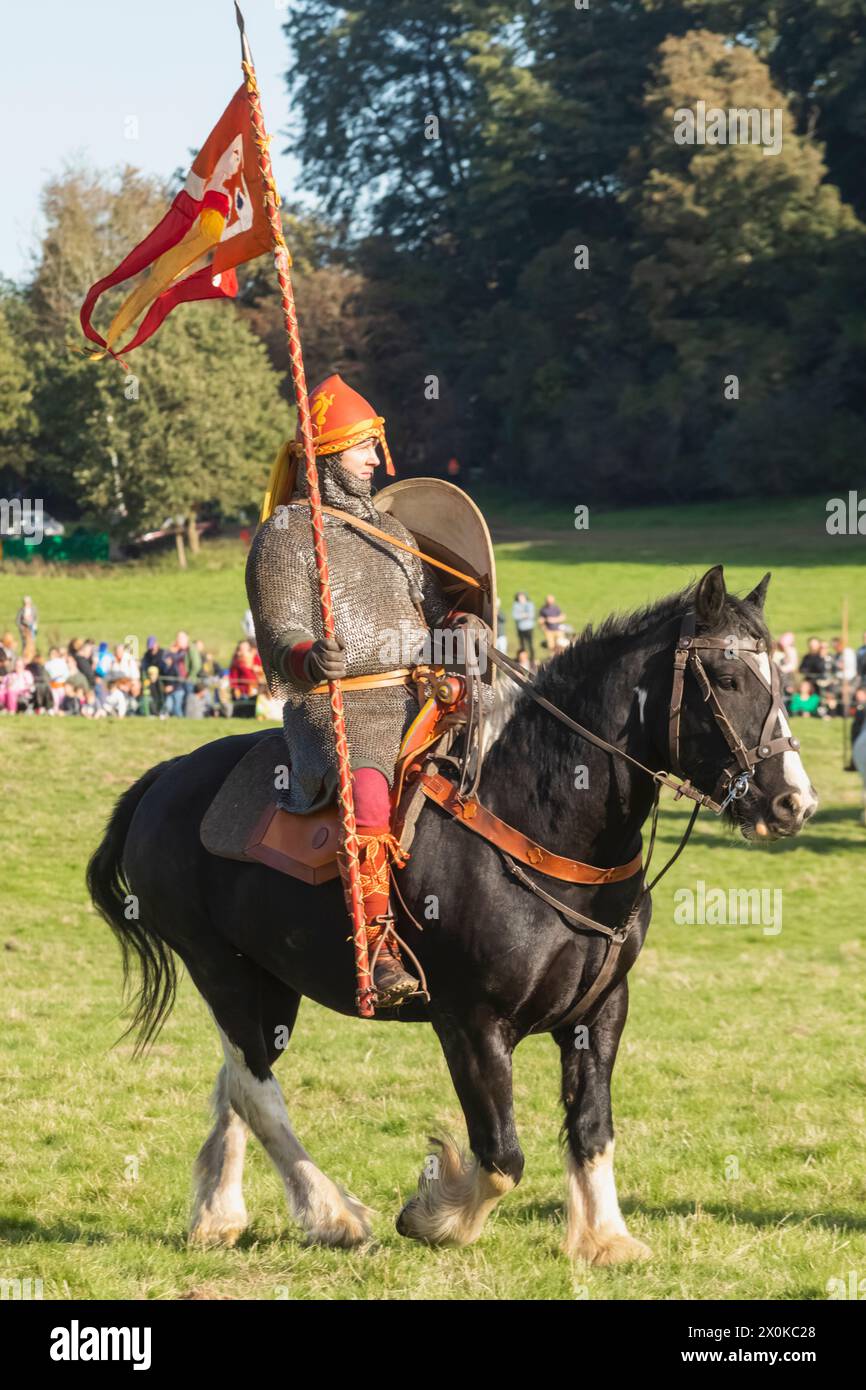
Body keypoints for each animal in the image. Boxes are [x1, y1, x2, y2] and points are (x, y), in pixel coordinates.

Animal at [89, 564, 817, 1262]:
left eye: (782, 680)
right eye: (727, 678)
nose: (793, 802)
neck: (538, 815)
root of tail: (168, 777)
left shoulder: (601, 1011)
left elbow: (591, 1128)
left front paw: (605, 1238)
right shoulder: (471, 1023)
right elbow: (501, 1157)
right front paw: (436, 1215)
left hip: (268, 981)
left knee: (236, 1078)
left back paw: (220, 1214)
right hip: (221, 968)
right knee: (256, 1088)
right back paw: (331, 1216)